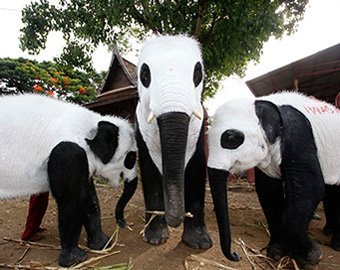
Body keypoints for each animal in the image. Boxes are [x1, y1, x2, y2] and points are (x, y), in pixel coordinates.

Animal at [135, 34, 212, 250]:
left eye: (197, 75)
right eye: (145, 76)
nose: (176, 218)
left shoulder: (200, 126)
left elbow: (196, 168)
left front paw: (200, 242)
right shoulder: (140, 125)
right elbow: (150, 170)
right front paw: (154, 237)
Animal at [207, 91, 340, 268]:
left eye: (231, 139)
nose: (236, 255)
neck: (261, 104)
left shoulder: (298, 132)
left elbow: (310, 188)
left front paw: (310, 256)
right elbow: (269, 193)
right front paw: (277, 252)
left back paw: (337, 244)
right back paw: (330, 231)